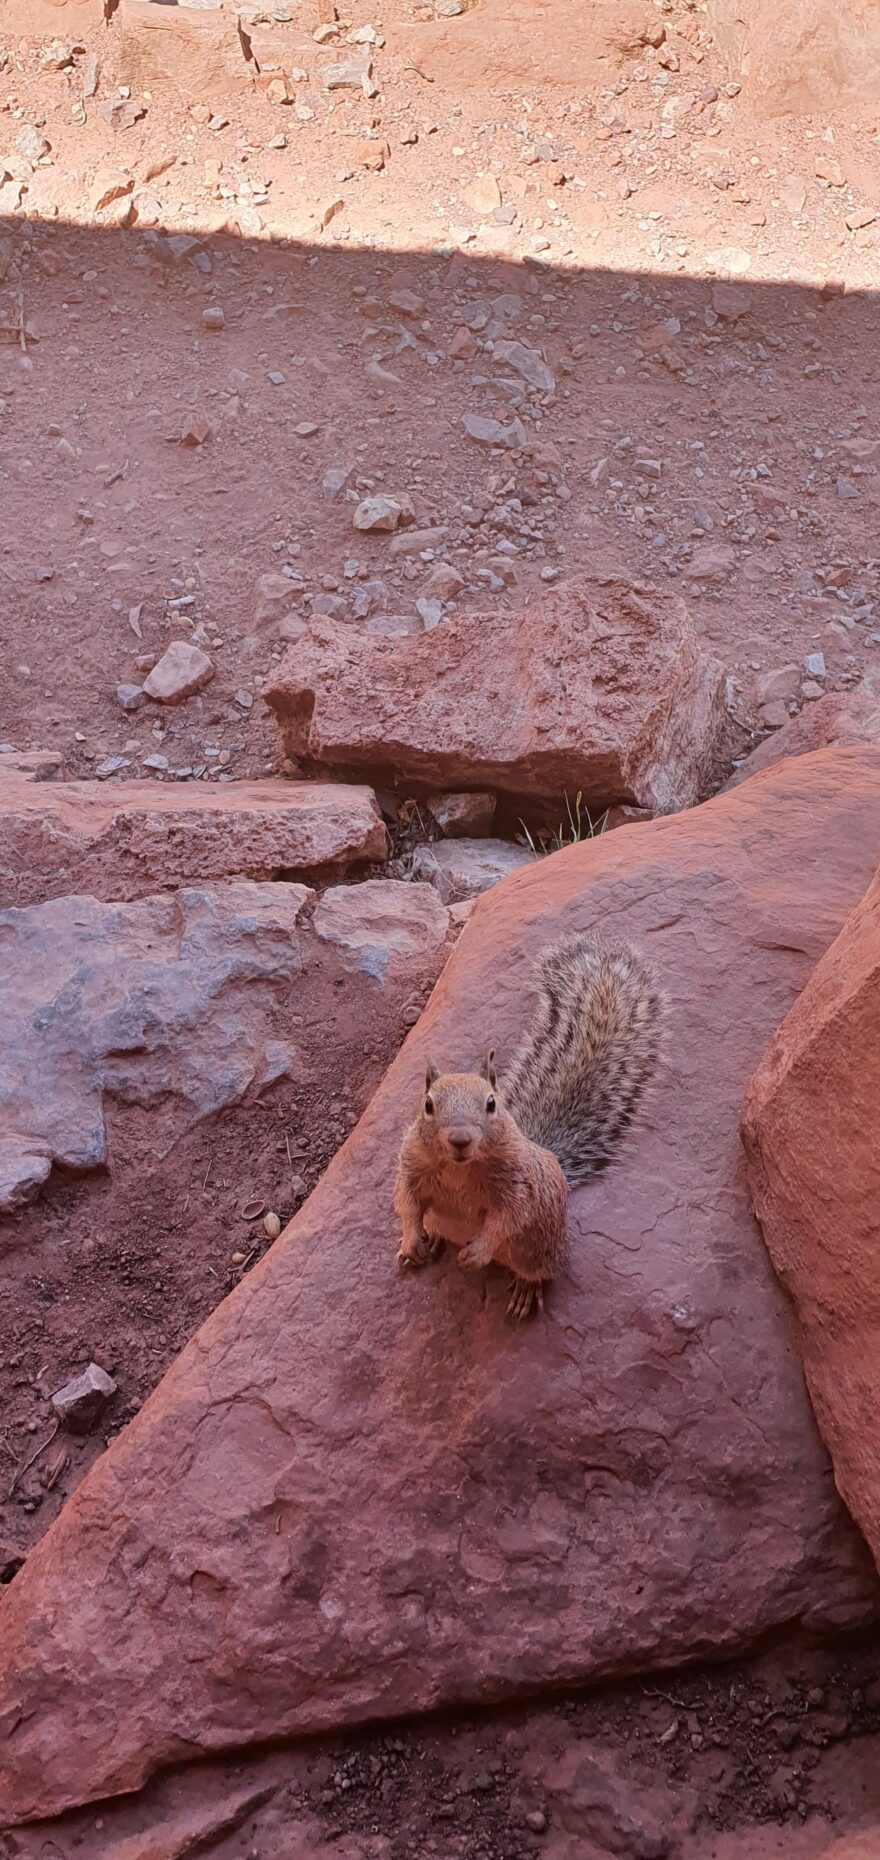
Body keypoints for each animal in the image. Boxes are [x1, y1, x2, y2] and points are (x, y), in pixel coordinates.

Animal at [394, 937, 662, 1316]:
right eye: (428, 1105)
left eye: (492, 1103)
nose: (460, 1139)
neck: (460, 1169)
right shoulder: (411, 1165)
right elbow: (407, 1200)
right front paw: (410, 1240)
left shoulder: (520, 1188)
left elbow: (507, 1218)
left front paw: (478, 1252)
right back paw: (427, 1243)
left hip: (541, 1247)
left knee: (537, 1269)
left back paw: (524, 1289)